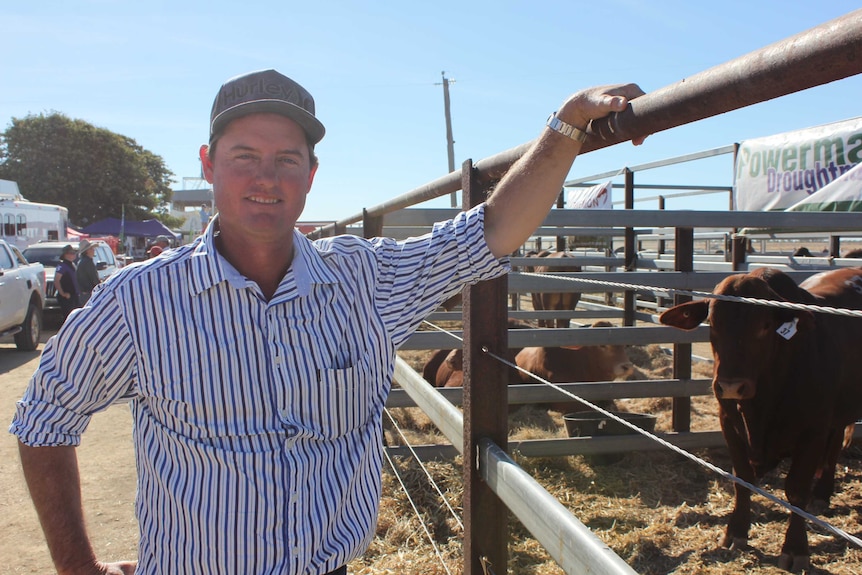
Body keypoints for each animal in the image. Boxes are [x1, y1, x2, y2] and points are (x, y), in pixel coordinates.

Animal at [660, 268, 862, 572]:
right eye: (713, 323)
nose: (731, 386)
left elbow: (796, 490)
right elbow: (742, 479)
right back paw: (823, 494)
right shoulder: (729, 423)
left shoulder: (812, 431)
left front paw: (795, 548)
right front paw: (736, 532)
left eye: (765, 326)